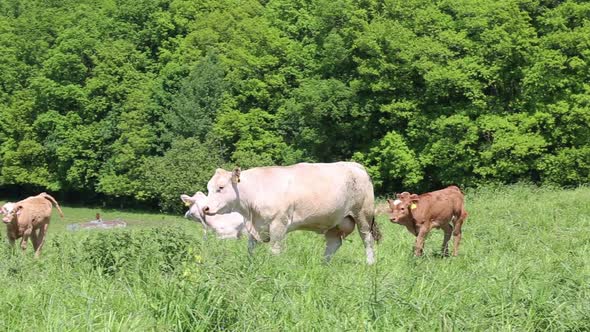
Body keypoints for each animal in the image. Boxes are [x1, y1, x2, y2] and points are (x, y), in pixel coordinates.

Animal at [201, 162, 382, 264]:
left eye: (221, 187)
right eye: (208, 188)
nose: (205, 208)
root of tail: (356, 166)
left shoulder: (278, 224)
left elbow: (275, 249)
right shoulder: (255, 226)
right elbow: (250, 248)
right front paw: (250, 264)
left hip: (363, 215)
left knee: (367, 239)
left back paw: (370, 263)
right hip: (335, 221)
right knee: (333, 243)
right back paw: (323, 264)